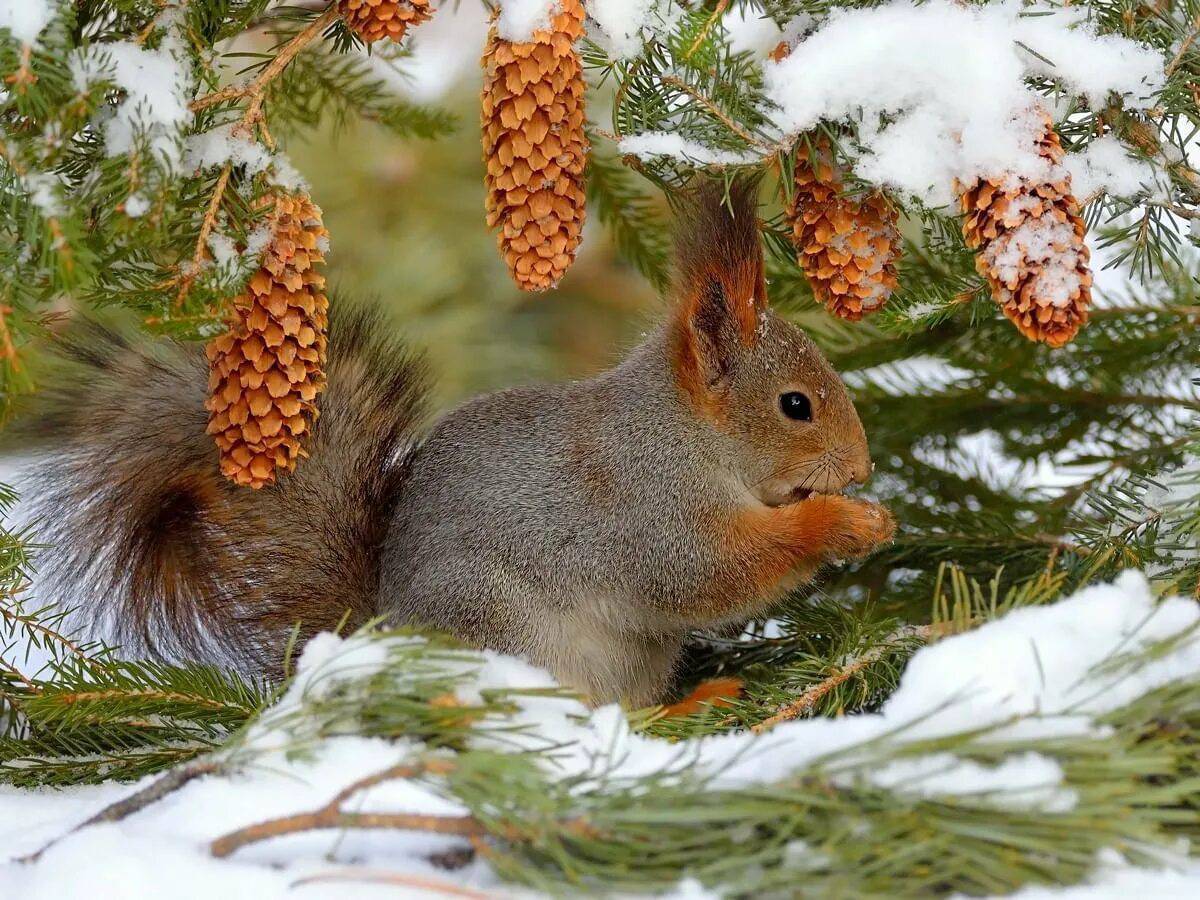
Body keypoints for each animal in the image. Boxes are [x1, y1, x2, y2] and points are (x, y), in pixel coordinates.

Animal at [23, 180, 897, 710]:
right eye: (795, 405)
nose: (861, 465)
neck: (687, 435)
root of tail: (381, 631)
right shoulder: (646, 507)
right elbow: (713, 572)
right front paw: (843, 523)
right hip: (499, 625)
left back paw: (694, 700)